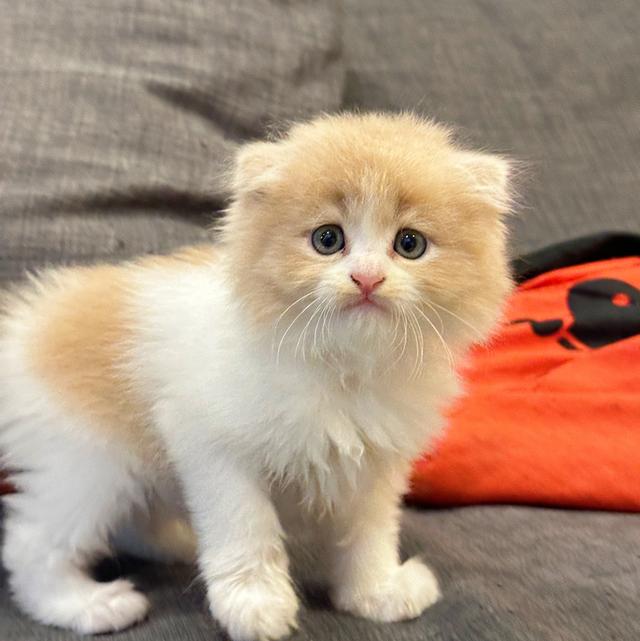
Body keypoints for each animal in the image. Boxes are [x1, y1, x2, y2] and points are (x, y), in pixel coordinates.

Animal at [0, 114, 512, 640]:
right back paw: (85, 605)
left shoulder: (374, 465)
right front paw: (254, 605)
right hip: (89, 462)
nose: (367, 278)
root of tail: (24, 325)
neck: (343, 368)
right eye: (327, 239)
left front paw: (377, 593)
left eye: (410, 244)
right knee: (30, 540)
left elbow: (369, 534)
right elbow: (245, 525)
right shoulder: (211, 444)